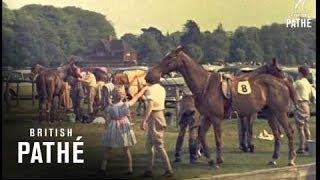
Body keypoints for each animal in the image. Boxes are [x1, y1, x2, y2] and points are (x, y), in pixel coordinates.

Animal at [148, 46, 298, 167]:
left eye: (170, 57)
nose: (150, 75)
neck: (205, 85)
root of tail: (282, 84)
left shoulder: (216, 118)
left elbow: (218, 138)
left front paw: (218, 159)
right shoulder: (207, 117)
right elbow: (201, 135)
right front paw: (210, 159)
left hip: (280, 113)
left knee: (289, 132)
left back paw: (291, 160)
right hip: (270, 114)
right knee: (277, 134)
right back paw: (274, 159)